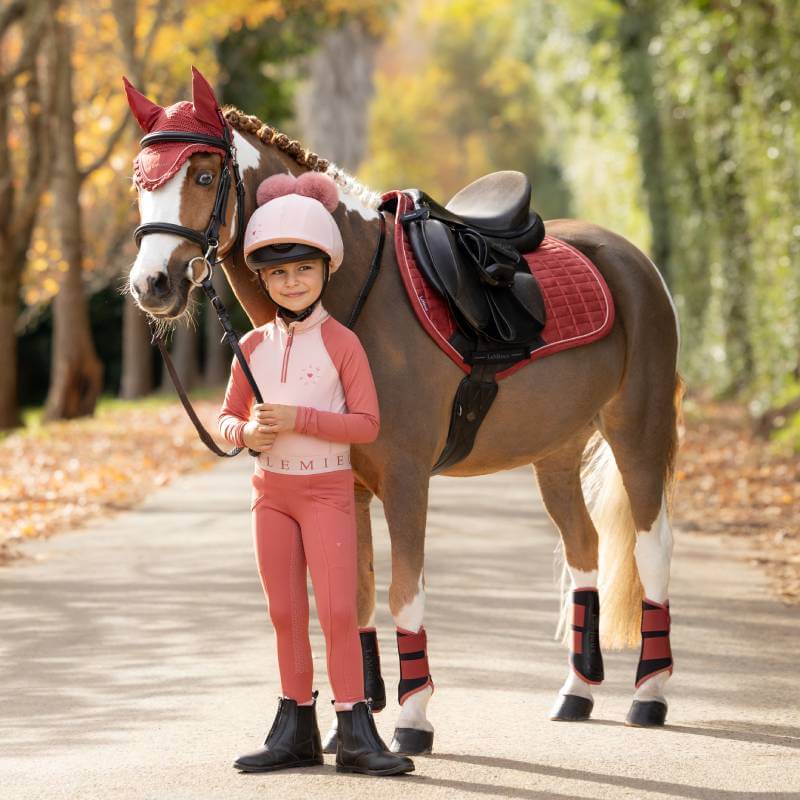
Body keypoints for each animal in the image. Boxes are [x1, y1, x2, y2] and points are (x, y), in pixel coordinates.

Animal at [125, 69, 681, 753]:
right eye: (138, 181)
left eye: (204, 176)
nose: (151, 285)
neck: (352, 291)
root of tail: (630, 259)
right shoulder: (352, 484)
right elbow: (355, 595)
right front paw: (355, 719)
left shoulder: (407, 479)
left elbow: (403, 592)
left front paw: (412, 720)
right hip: (555, 452)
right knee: (584, 548)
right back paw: (576, 692)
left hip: (638, 432)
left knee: (651, 548)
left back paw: (650, 695)